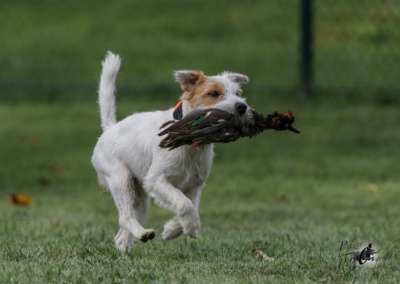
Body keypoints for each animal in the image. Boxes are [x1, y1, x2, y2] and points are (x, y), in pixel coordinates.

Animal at [91, 51, 253, 251]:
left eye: (238, 93)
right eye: (214, 93)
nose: (242, 106)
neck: (190, 144)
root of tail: (110, 128)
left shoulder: (194, 185)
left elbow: (192, 206)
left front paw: (172, 230)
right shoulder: (156, 180)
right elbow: (184, 204)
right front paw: (190, 228)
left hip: (140, 197)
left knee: (122, 233)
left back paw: (129, 245)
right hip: (121, 180)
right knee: (125, 216)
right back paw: (142, 233)